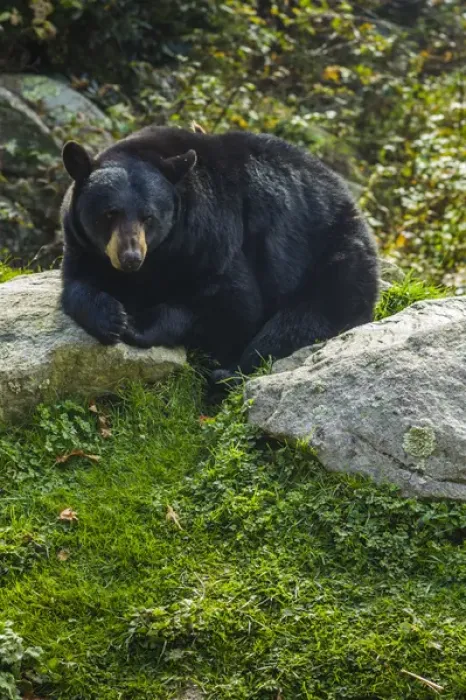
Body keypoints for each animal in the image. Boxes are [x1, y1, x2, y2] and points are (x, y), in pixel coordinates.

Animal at [60, 125, 379, 383]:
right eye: (109, 214)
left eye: (148, 217)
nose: (130, 258)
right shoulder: (81, 243)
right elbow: (77, 281)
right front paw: (110, 317)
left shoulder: (213, 237)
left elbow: (234, 306)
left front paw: (138, 324)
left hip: (336, 260)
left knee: (295, 324)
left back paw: (230, 373)